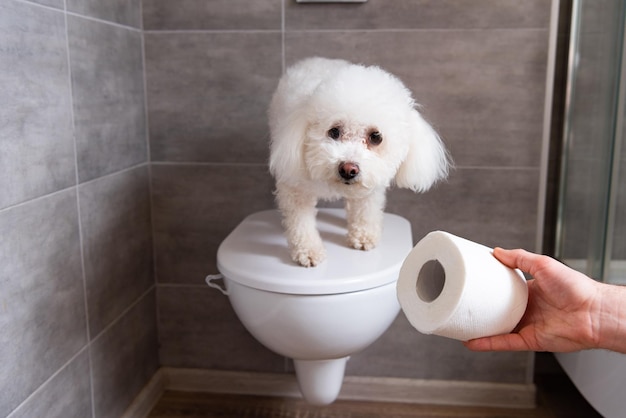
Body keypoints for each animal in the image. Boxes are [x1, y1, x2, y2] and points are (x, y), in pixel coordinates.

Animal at [268, 57, 448, 266]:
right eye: (334, 132)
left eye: (376, 137)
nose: (348, 169)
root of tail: (315, 59)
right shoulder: (294, 188)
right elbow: (301, 223)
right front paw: (308, 251)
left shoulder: (371, 187)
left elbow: (366, 210)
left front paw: (364, 237)